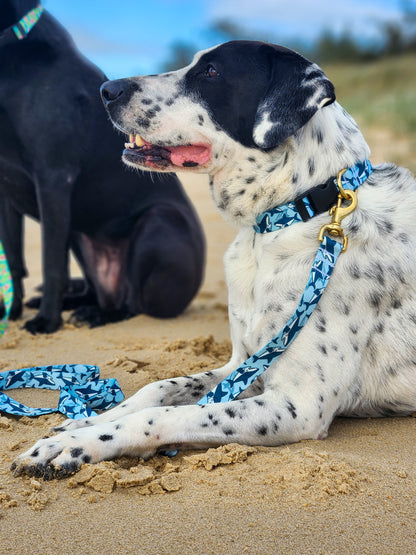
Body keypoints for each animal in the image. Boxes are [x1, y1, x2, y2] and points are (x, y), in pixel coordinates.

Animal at [0, 1, 205, 334]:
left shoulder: (53, 178)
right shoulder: (6, 191)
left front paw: (47, 322)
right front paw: (11, 311)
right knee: (95, 292)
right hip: (78, 233)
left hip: (158, 222)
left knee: (132, 304)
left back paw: (97, 315)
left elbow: (51, 264)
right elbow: (14, 260)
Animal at [11, 41, 416, 480]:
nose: (107, 89)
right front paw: (87, 420)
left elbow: (162, 415)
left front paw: (77, 444)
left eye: (211, 72)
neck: (300, 211)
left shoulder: (297, 405)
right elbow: (157, 387)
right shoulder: (242, 365)